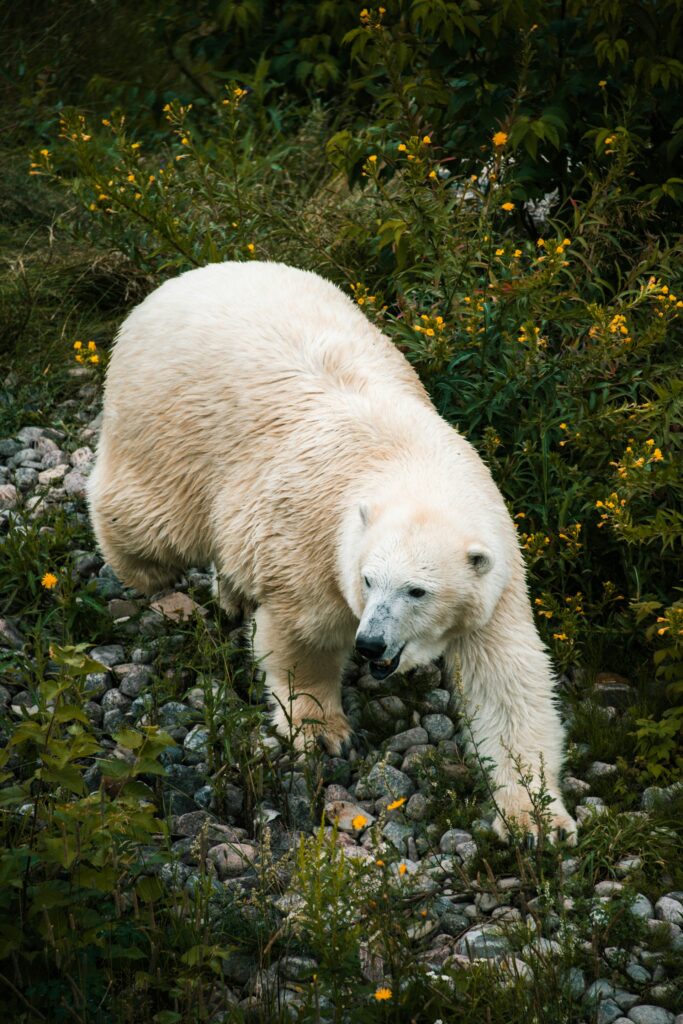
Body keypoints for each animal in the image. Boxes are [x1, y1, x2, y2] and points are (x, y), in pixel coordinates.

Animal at [88, 260, 577, 842]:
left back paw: (230, 594)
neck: (412, 464)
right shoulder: (314, 541)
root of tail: (185, 277)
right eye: (368, 580)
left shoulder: (497, 574)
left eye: (417, 590)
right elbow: (304, 636)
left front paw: (538, 818)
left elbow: (508, 682)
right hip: (169, 427)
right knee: (149, 520)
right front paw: (324, 731)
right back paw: (152, 578)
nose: (370, 644)